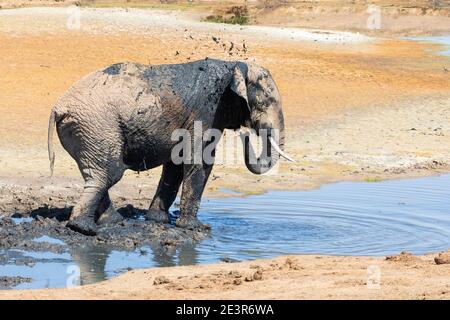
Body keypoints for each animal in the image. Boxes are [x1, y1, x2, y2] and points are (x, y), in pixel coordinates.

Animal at [47, 59, 294, 235]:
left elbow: (175, 165)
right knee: (109, 174)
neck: (234, 66)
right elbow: (199, 162)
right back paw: (85, 228)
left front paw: (158, 221)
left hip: (84, 130)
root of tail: (58, 108)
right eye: (268, 101)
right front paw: (196, 228)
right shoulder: (205, 112)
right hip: (98, 126)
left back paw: (113, 222)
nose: (245, 135)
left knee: (98, 175)